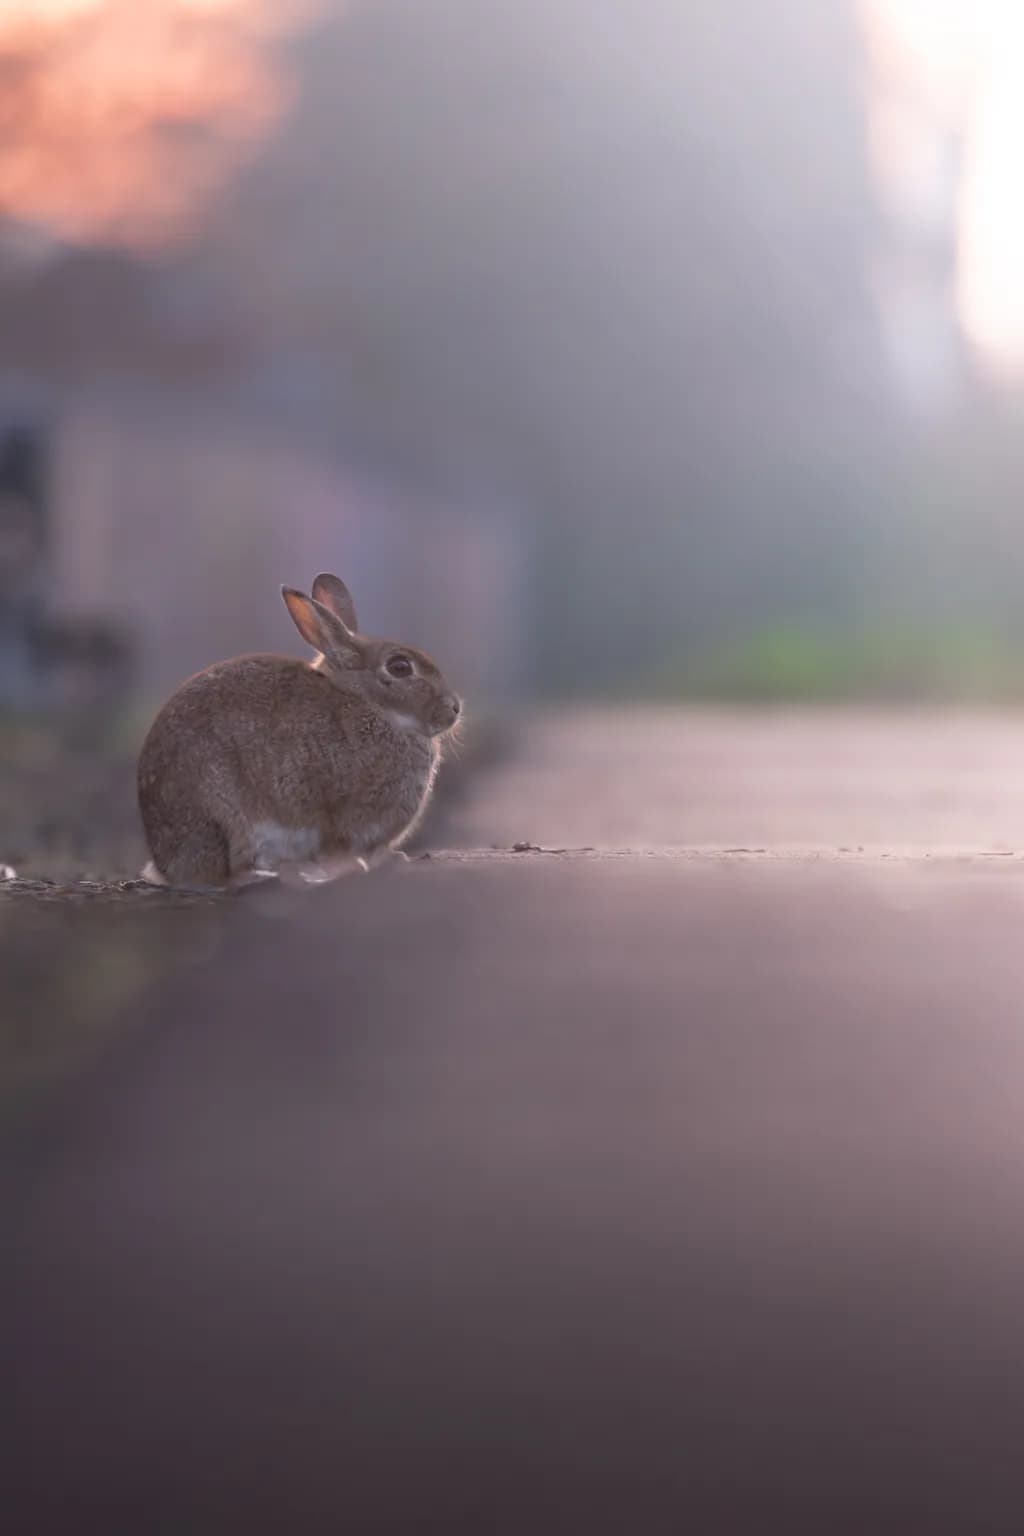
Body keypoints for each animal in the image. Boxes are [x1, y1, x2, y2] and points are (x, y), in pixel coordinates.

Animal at [137, 573, 463, 889]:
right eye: (399, 667)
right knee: (223, 875)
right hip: (225, 818)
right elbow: (339, 849)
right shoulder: (340, 815)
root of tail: (166, 864)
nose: (454, 708)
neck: (376, 709)